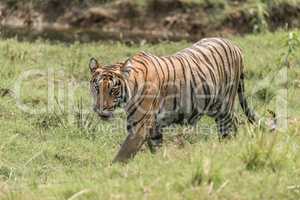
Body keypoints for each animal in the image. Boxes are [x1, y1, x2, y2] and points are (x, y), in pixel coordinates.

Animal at [89, 37, 260, 162]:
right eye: (97, 88)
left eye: (113, 90)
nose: (100, 109)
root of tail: (234, 45)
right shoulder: (154, 126)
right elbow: (155, 147)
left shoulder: (139, 126)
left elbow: (123, 154)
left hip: (223, 105)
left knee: (229, 125)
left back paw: (227, 145)